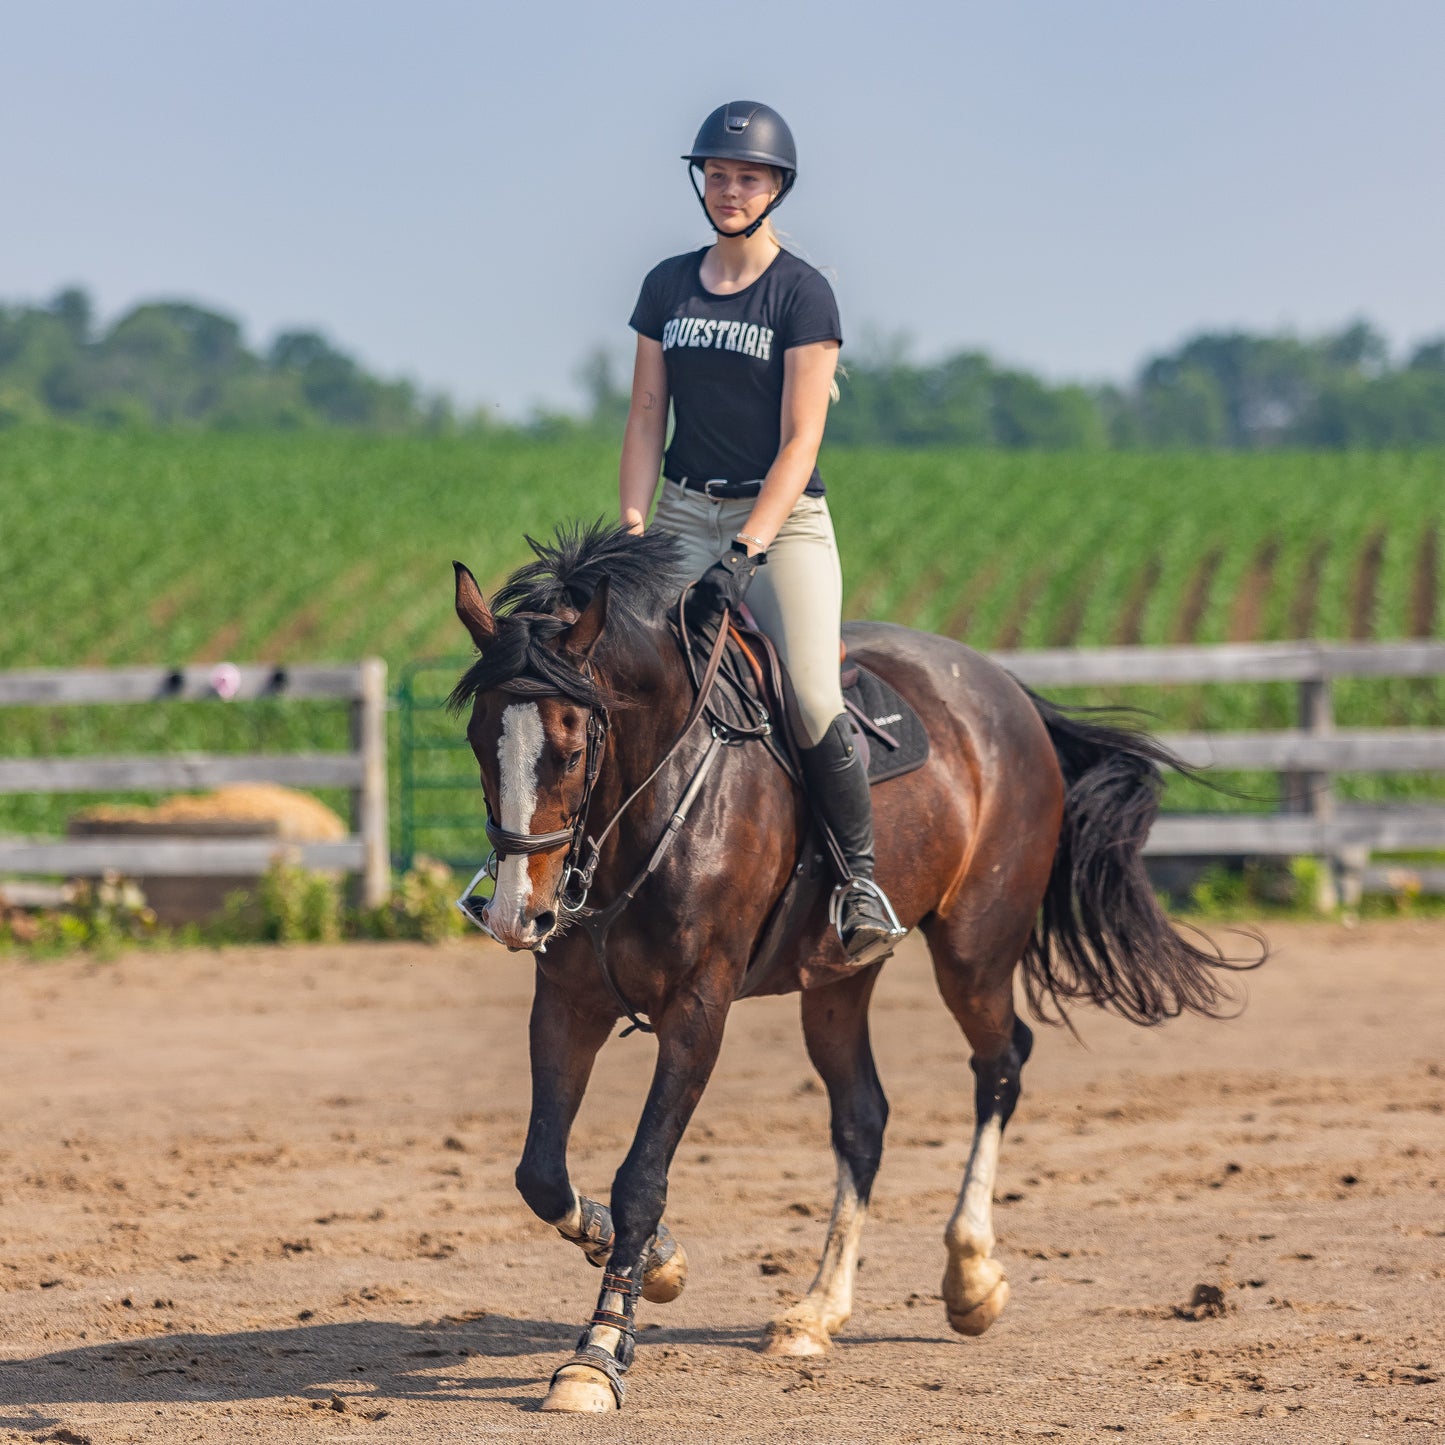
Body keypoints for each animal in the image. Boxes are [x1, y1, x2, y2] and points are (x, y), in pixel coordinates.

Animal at [447, 523, 1254, 1410]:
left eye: (568, 746)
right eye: (479, 738)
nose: (518, 914)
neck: (642, 811)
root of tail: (1002, 687)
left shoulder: (698, 1010)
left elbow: (641, 1177)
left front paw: (597, 1352)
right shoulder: (567, 1000)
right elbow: (542, 1173)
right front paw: (656, 1261)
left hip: (973, 951)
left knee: (1000, 1063)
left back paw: (971, 1277)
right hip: (835, 983)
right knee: (863, 1118)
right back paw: (815, 1312)